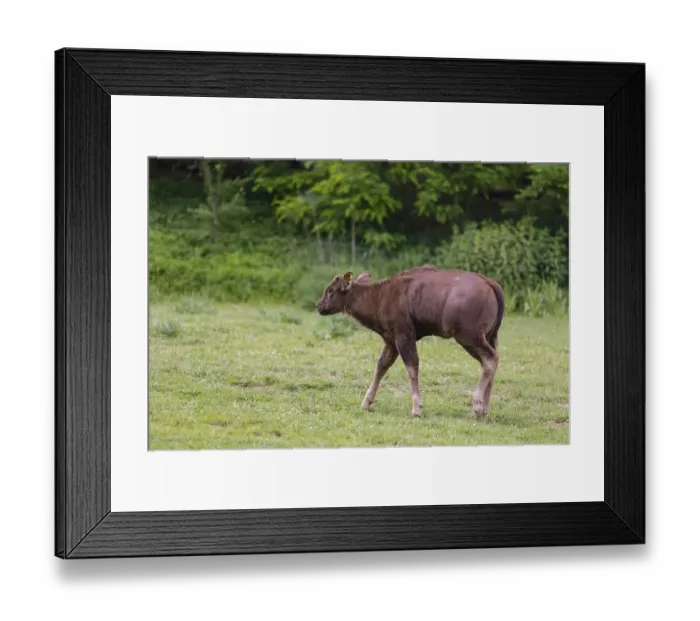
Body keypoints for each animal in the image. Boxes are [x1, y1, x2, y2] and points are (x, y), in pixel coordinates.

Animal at [316, 266, 505, 419]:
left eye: (331, 290)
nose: (319, 306)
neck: (377, 301)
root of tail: (491, 284)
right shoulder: (391, 340)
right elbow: (380, 367)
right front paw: (366, 402)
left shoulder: (403, 333)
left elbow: (412, 367)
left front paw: (416, 408)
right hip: (490, 335)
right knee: (493, 361)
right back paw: (486, 409)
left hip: (468, 334)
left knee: (490, 359)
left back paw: (477, 406)